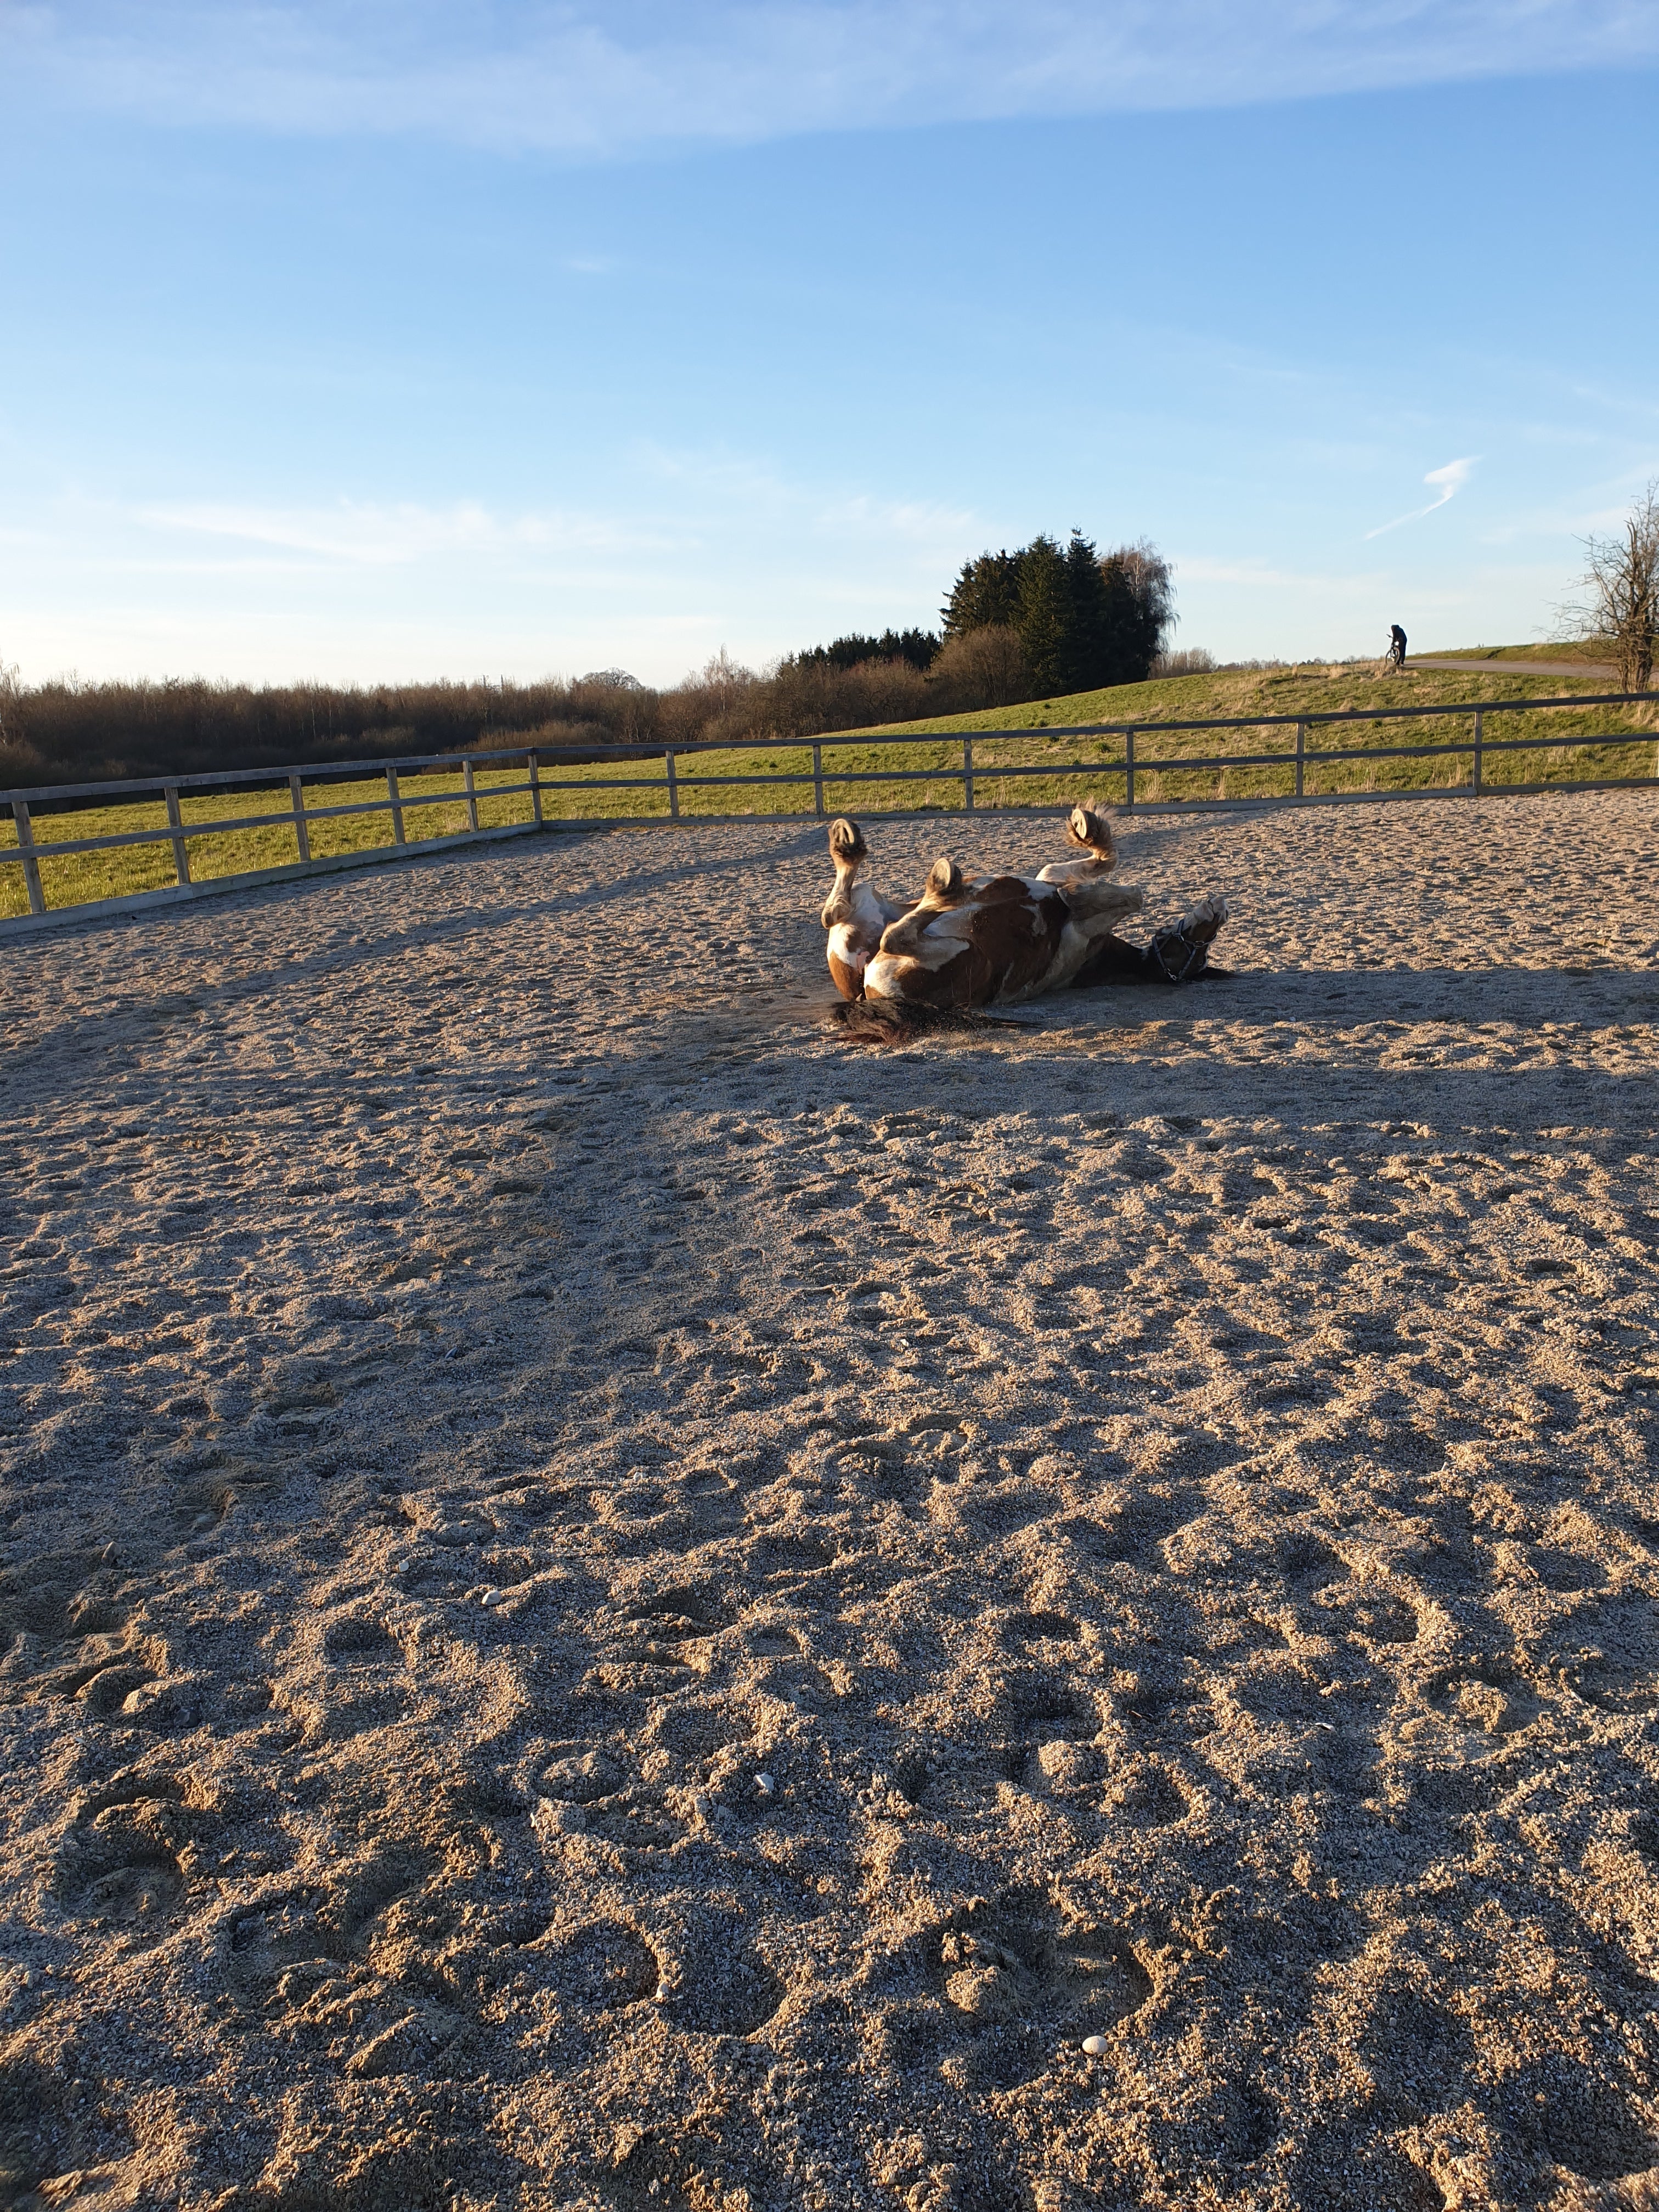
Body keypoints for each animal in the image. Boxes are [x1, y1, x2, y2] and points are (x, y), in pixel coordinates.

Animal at [827, 805, 1229, 1013]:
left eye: (1201, 953)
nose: (1221, 908)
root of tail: (868, 995)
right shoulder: (1050, 876)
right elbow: (1106, 864)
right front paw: (1086, 826)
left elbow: (1130, 895)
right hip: (864, 916)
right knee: (838, 909)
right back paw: (848, 843)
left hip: (958, 950)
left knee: (890, 936)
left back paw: (944, 888)